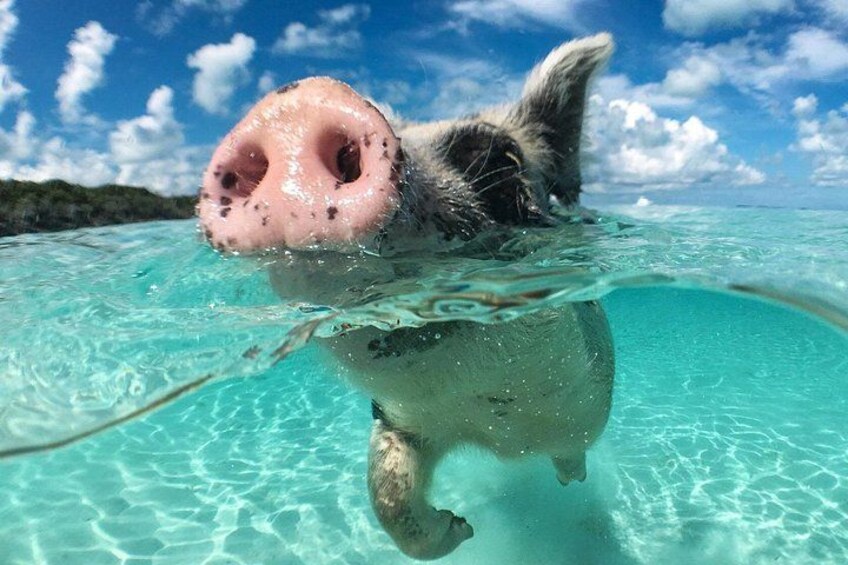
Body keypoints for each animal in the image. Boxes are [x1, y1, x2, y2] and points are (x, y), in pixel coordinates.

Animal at [198, 33, 615, 560]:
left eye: (500, 159)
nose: (294, 106)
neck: (497, 428)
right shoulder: (399, 420)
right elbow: (388, 495)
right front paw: (462, 528)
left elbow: (571, 449)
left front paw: (481, 520)